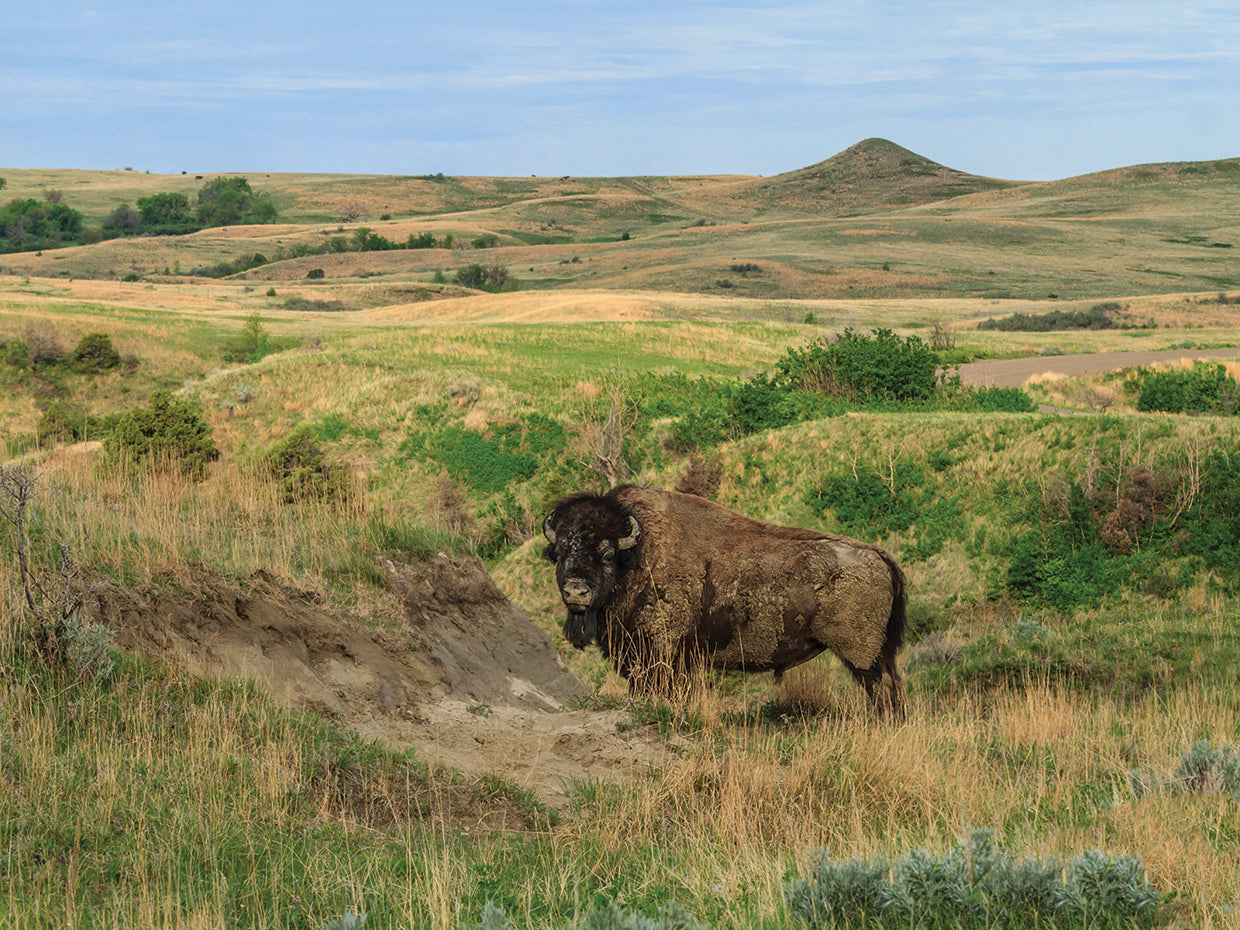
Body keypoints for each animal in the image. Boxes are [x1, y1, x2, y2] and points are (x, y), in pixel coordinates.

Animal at [542, 485, 907, 718]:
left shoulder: (663, 653)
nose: (576, 592)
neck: (636, 555)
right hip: (879, 654)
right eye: (559, 552)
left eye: (606, 554)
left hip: (862, 656)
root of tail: (879, 556)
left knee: (883, 692)